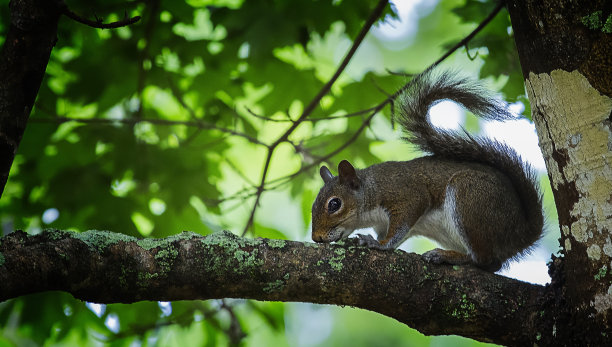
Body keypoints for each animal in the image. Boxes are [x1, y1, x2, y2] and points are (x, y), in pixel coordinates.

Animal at [310, 69, 544, 274]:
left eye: (334, 204)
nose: (316, 238)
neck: (372, 190)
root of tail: (521, 233)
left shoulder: (407, 195)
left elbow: (401, 225)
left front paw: (379, 244)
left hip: (471, 200)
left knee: (487, 261)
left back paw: (448, 256)